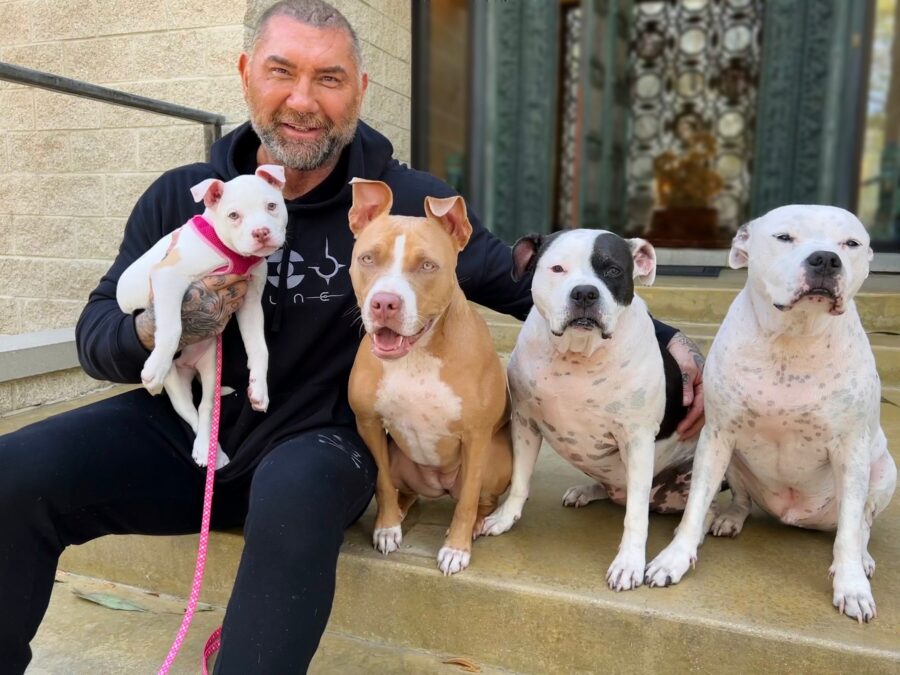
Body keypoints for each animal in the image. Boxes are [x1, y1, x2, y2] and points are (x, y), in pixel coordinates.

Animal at [114, 168, 286, 470]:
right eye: (233, 215)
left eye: (272, 206)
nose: (261, 232)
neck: (231, 253)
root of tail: (188, 367)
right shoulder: (168, 277)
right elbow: (172, 327)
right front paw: (155, 366)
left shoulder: (250, 303)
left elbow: (259, 348)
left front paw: (259, 389)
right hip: (174, 385)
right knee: (190, 412)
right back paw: (206, 451)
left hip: (211, 366)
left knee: (206, 408)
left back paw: (212, 450)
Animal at [346, 178, 510, 576]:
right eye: (367, 258)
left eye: (427, 265)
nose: (384, 303)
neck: (416, 356)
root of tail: (439, 486)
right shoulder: (368, 423)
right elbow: (381, 483)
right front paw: (387, 527)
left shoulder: (477, 436)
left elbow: (467, 501)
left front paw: (456, 548)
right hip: (399, 458)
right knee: (405, 491)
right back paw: (402, 511)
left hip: (496, 460)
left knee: (478, 498)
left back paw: (477, 524)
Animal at [482, 231, 700, 592]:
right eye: (557, 268)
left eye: (612, 270)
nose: (585, 292)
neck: (579, 354)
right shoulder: (525, 423)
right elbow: (519, 479)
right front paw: (504, 518)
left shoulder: (637, 440)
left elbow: (636, 517)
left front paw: (628, 564)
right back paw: (586, 491)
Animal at [644, 205, 896, 624]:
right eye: (784, 237)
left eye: (851, 243)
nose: (826, 259)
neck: (793, 339)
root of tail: (798, 516)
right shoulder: (717, 436)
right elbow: (696, 505)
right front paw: (674, 558)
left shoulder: (850, 449)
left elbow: (848, 533)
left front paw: (852, 586)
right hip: (734, 463)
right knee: (742, 499)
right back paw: (729, 518)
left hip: (883, 473)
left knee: (860, 523)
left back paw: (862, 558)